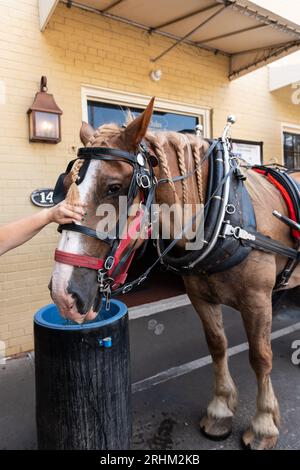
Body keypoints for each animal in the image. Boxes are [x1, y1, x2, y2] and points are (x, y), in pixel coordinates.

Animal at [49, 97, 300, 450]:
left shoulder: (257, 300)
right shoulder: (200, 296)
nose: (62, 291)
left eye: (113, 187)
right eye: (67, 184)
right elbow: (217, 345)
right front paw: (220, 409)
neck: (223, 214)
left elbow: (260, 357)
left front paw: (264, 424)